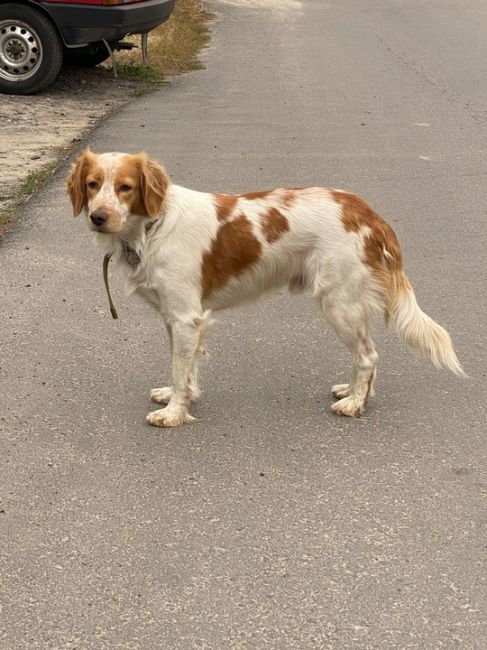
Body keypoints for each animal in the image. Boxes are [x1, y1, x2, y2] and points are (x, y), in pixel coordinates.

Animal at [66, 149, 468, 428]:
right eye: (92, 184)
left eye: (125, 187)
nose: (98, 217)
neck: (152, 227)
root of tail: (366, 210)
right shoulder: (178, 319)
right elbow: (186, 367)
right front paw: (180, 398)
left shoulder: (185, 318)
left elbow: (180, 370)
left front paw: (173, 413)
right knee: (366, 355)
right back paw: (357, 393)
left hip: (338, 303)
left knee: (368, 356)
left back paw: (353, 404)